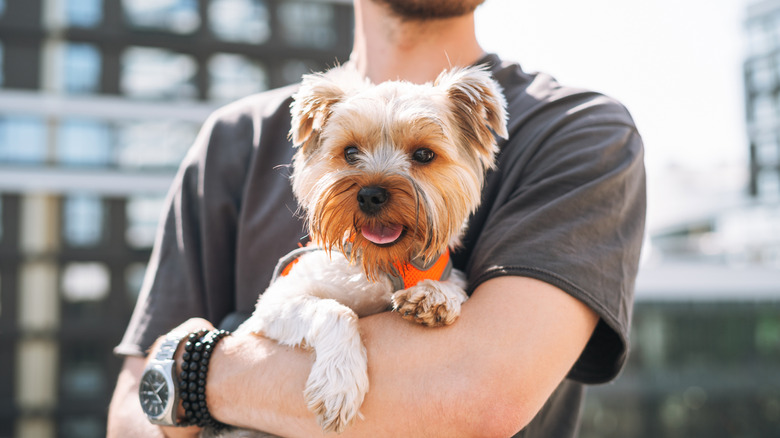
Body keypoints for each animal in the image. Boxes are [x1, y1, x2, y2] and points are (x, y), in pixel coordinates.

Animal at [210, 63, 508, 436]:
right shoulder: (272, 306)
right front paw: (338, 385)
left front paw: (434, 295)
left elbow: (453, 285)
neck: (384, 264)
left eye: (424, 154)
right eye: (350, 152)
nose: (370, 194)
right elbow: (337, 311)